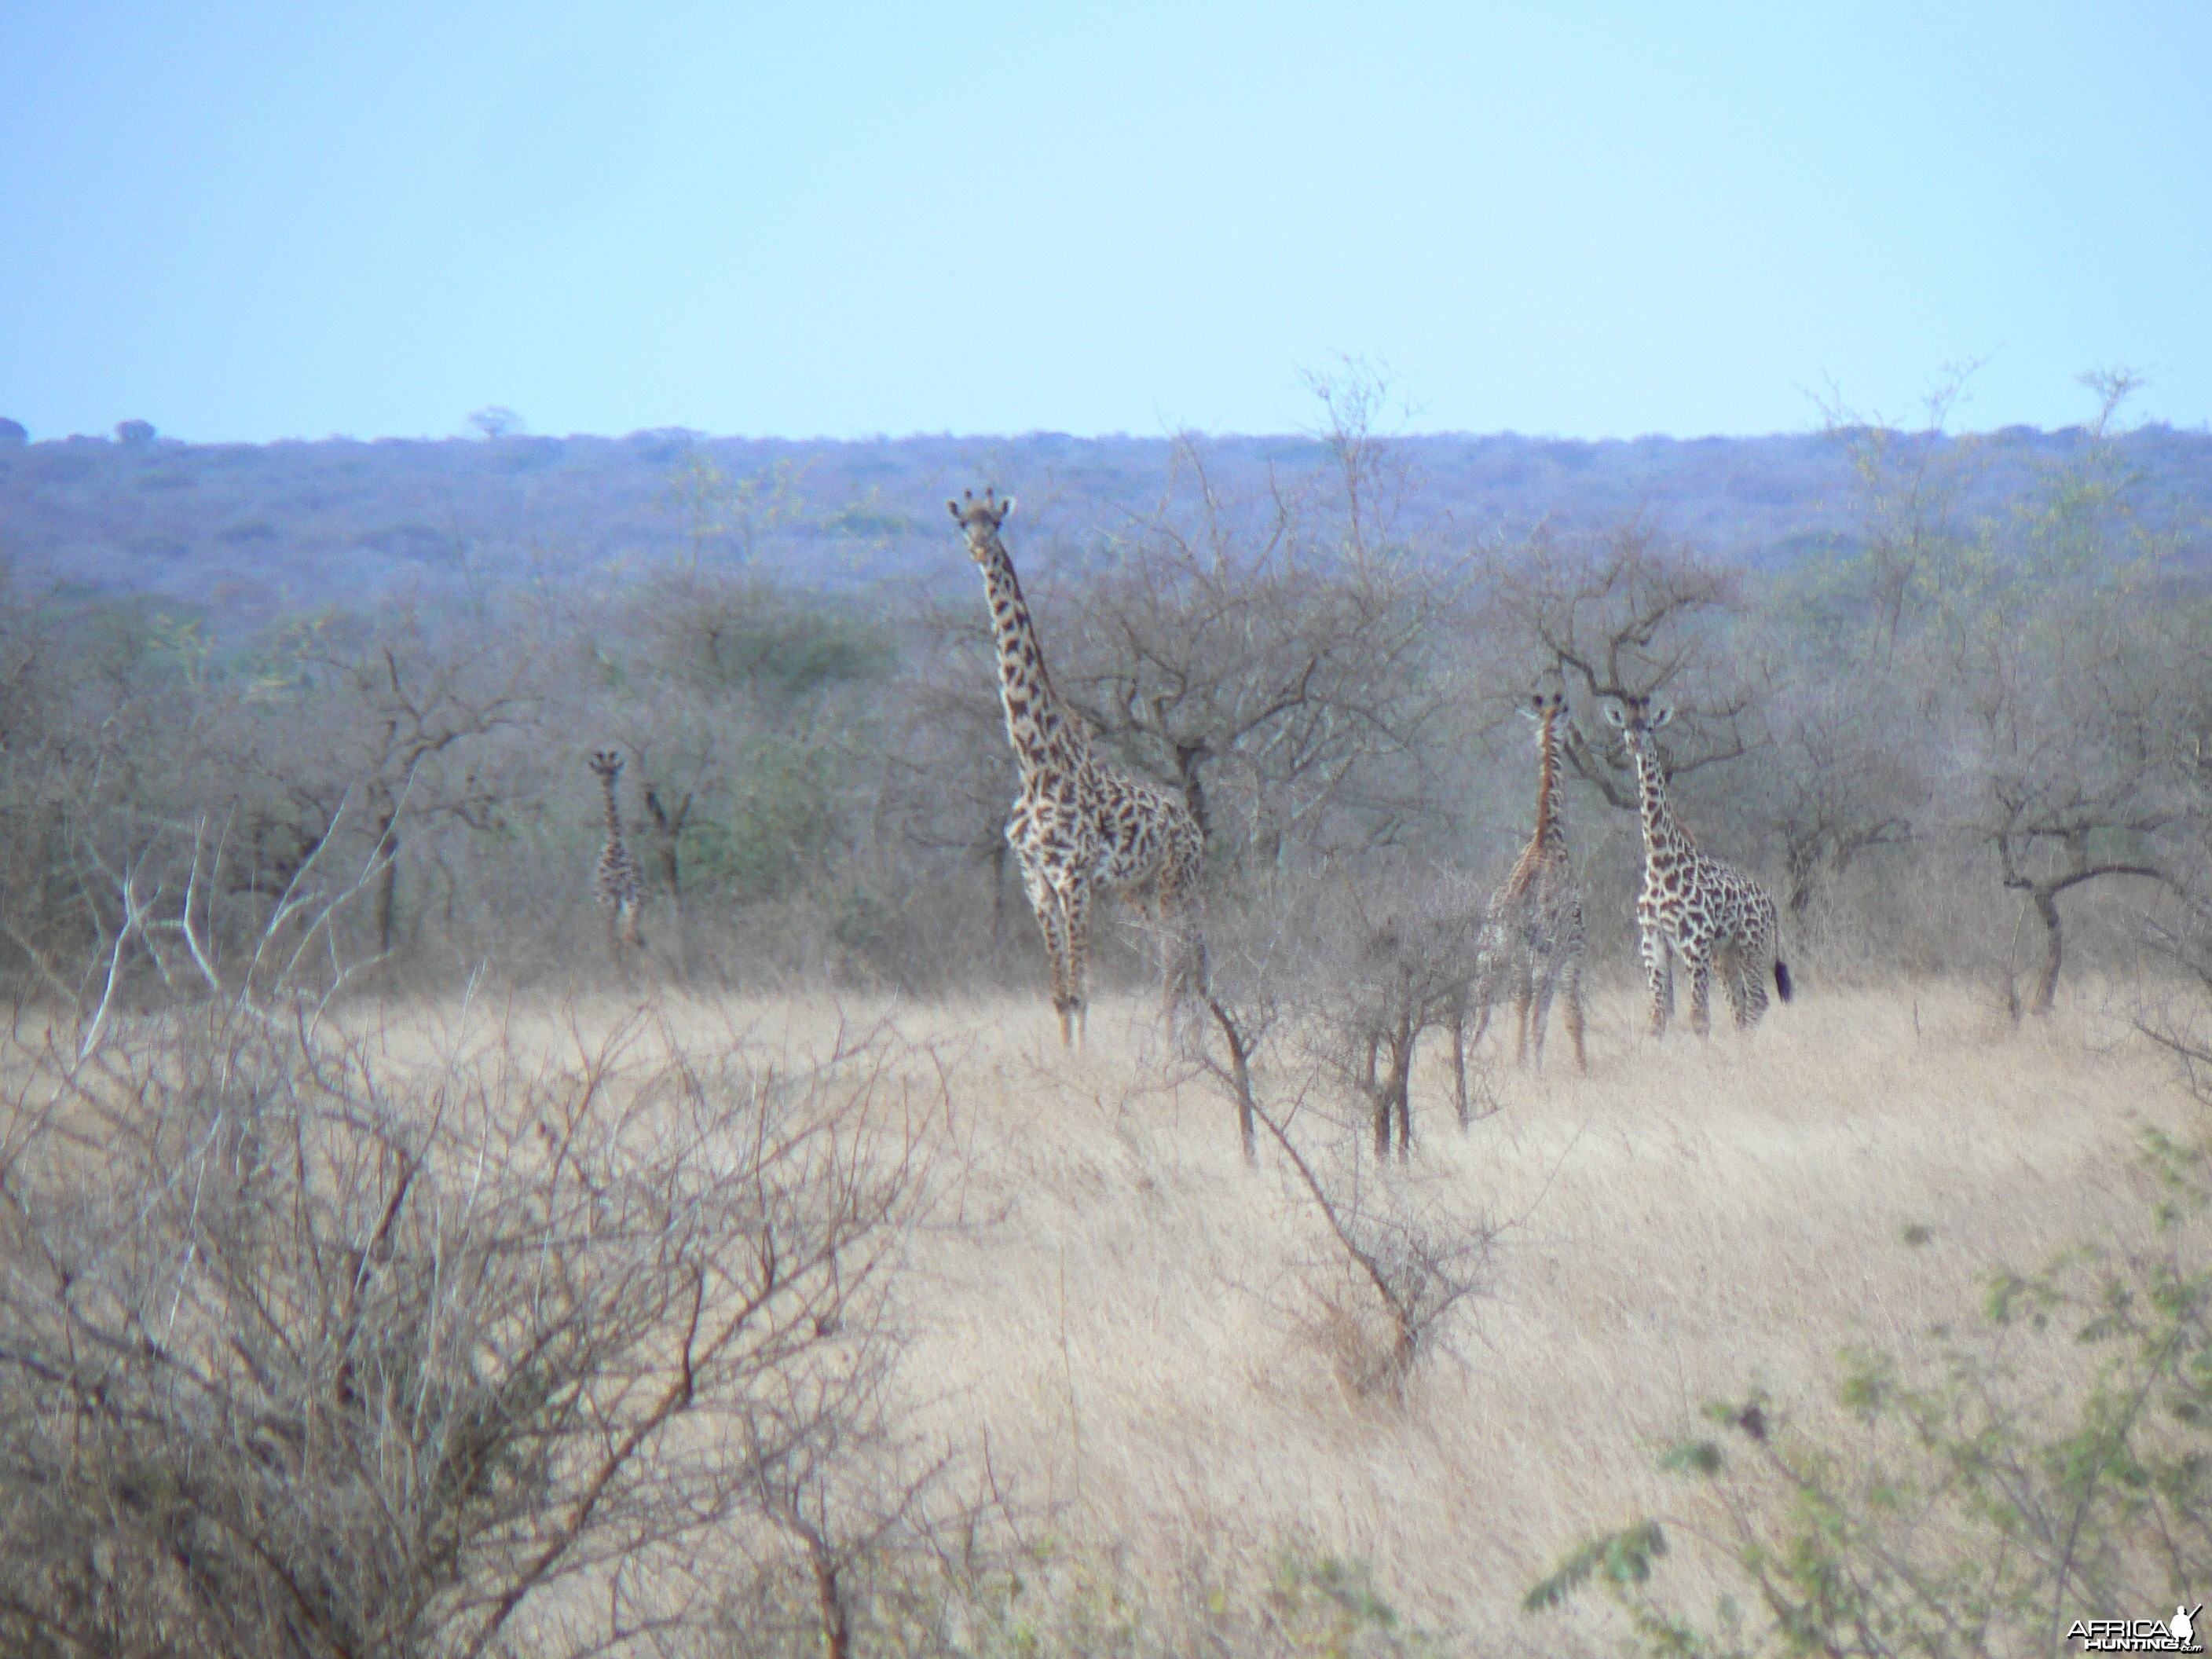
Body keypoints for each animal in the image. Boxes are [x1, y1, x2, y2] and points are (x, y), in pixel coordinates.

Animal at [584, 752, 646, 955]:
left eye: (614, 771)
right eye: (602, 771)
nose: (608, 781)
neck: (614, 841)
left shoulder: (611, 898)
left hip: (618, 899)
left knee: (622, 938)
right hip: (625, 898)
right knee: (627, 936)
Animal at [942, 486, 1203, 1044]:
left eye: (996, 521)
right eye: (963, 524)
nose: (979, 549)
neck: (1035, 763)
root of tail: (1193, 828)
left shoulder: (1074, 878)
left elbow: (1082, 992)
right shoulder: (1035, 881)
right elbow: (1061, 996)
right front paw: (1068, 1057)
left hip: (1179, 883)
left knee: (1183, 965)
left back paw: (1182, 1049)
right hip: (1137, 890)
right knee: (1175, 962)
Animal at [1468, 690, 1592, 1070]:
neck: (1546, 838)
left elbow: (1529, 1006)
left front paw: (1526, 1062)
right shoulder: (1574, 944)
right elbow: (1570, 1011)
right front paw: (1581, 1068)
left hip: (1491, 951)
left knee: (1483, 1009)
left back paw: (1474, 1059)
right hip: (1541, 950)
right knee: (1536, 1004)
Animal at [1610, 690, 1796, 1035]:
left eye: (1650, 726)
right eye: (1625, 726)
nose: (1633, 744)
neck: (1661, 863)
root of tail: (1771, 905)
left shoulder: (1694, 942)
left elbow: (1699, 1018)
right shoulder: (1652, 942)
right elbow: (1657, 1018)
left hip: (1751, 946)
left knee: (1758, 1002)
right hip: (1725, 954)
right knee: (1740, 1005)